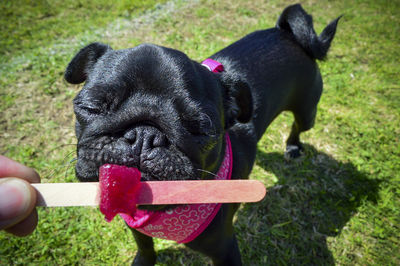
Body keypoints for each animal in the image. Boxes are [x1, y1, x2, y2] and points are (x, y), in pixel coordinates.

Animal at [65, 4, 338, 266]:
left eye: (200, 127)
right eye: (92, 106)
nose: (144, 135)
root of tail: (286, 33)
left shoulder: (225, 250)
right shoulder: (137, 228)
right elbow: (145, 247)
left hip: (307, 112)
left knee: (297, 127)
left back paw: (293, 147)